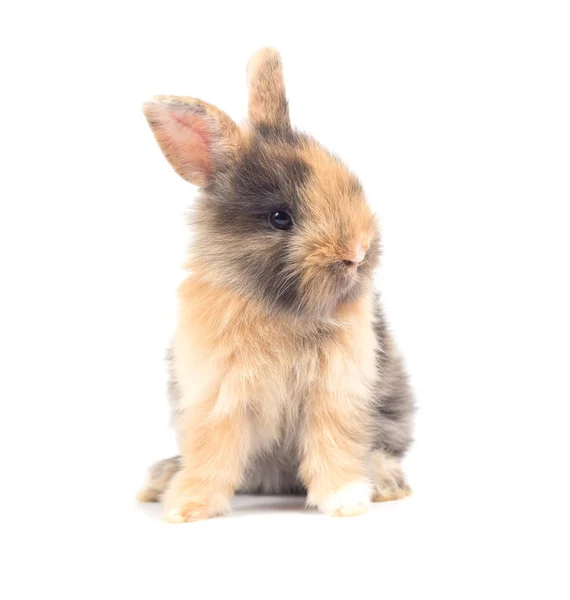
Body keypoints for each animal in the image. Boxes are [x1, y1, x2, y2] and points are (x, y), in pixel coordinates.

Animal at [138, 47, 412, 520]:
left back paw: (385, 482)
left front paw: (346, 501)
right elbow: (211, 453)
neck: (277, 307)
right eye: (280, 217)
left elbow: (334, 442)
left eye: (350, 183)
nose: (357, 251)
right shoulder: (218, 396)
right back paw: (161, 481)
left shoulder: (334, 392)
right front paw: (187, 507)